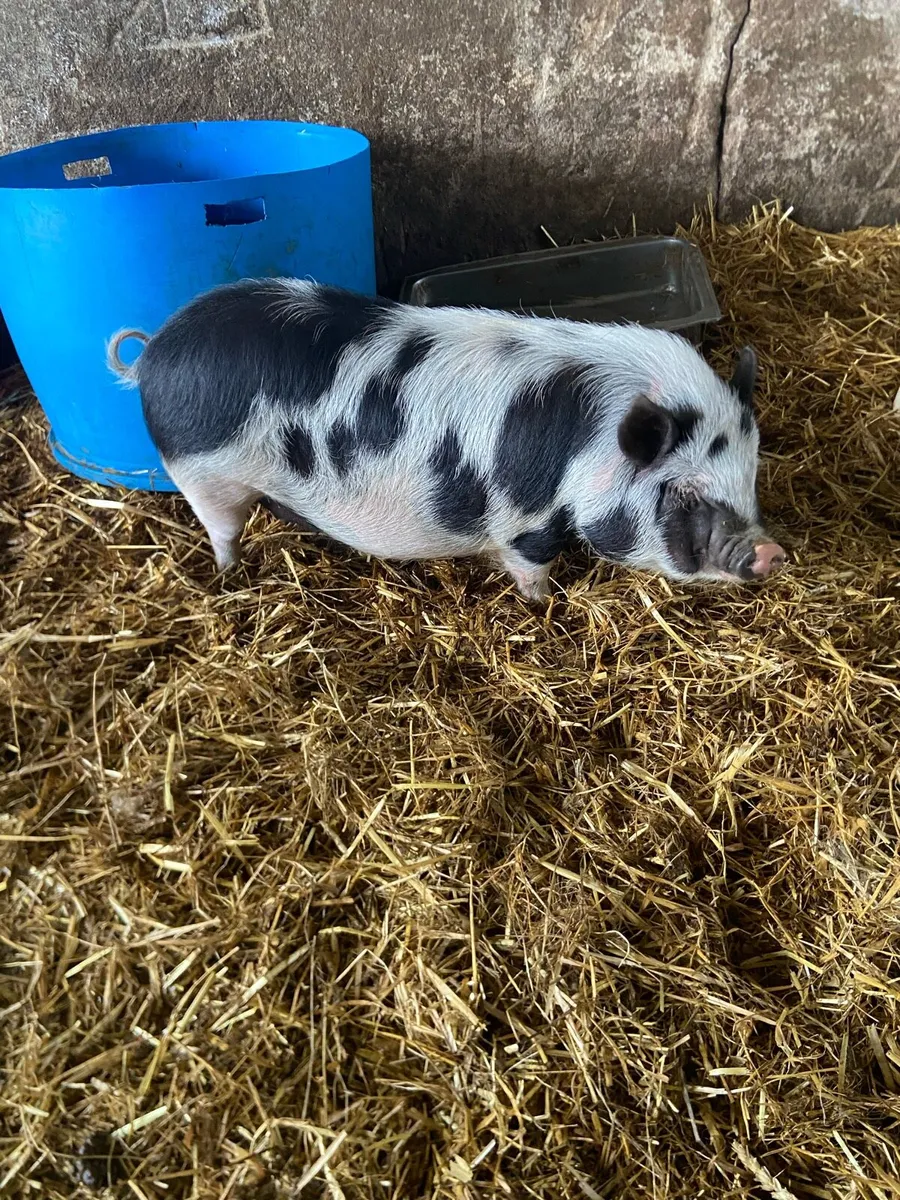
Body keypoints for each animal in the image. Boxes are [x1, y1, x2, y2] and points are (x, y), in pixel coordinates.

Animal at [106, 279, 785, 600]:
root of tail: (155, 352)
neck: (590, 445)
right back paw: (230, 574)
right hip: (204, 476)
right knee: (222, 529)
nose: (772, 552)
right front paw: (545, 606)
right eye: (686, 492)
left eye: (752, 474)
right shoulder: (528, 523)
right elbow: (532, 570)